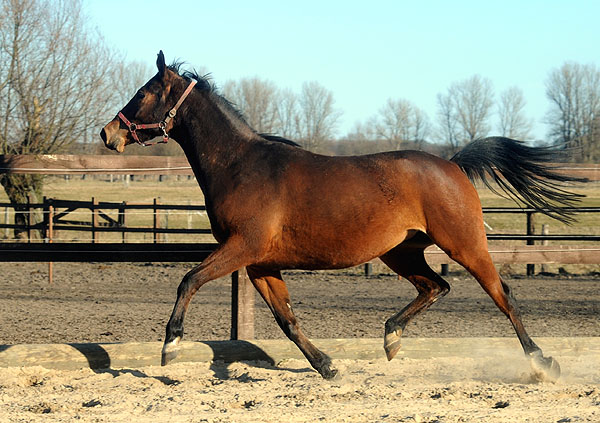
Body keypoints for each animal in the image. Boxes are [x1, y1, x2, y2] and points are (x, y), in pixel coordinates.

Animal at [101, 51, 584, 382]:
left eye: (142, 93)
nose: (108, 134)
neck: (240, 165)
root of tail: (452, 166)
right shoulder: (260, 262)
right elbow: (287, 319)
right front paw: (328, 366)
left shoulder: (243, 248)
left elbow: (189, 280)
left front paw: (170, 347)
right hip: (401, 252)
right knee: (436, 286)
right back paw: (390, 338)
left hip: (464, 244)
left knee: (503, 296)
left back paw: (543, 362)